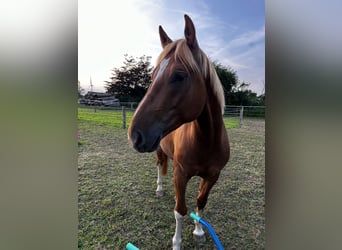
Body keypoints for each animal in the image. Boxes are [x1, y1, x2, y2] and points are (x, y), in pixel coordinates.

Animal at [128, 14, 230, 249]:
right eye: (152, 75)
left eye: (179, 75)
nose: (135, 134)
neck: (206, 140)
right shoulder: (181, 174)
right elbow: (180, 210)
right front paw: (177, 242)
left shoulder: (213, 176)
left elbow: (201, 202)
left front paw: (199, 231)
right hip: (159, 152)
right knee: (159, 166)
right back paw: (159, 189)